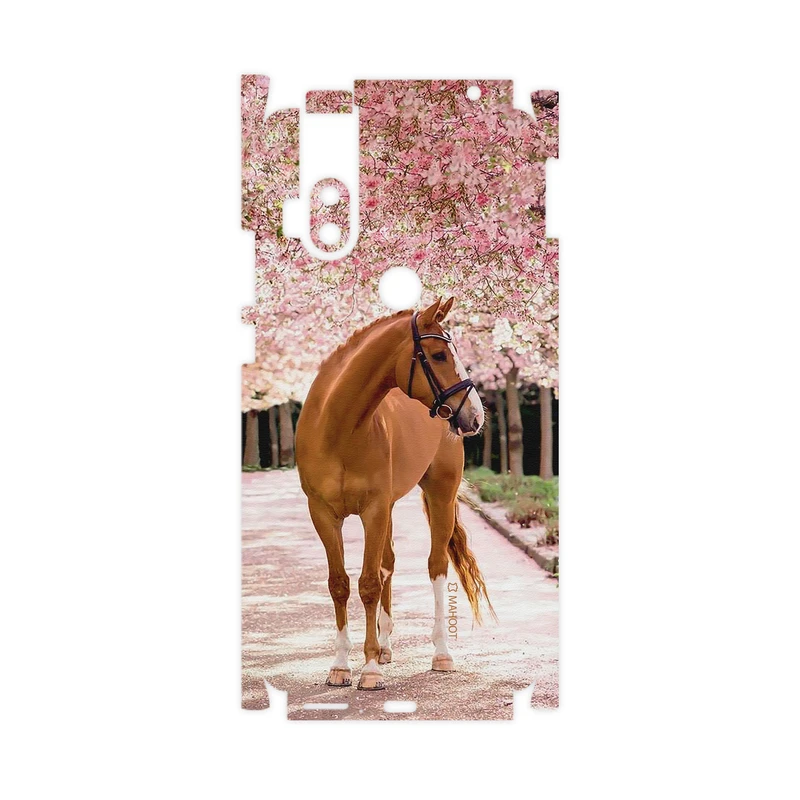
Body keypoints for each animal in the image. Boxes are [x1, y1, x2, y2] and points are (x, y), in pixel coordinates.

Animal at [295, 297, 494, 690]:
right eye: (438, 355)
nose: (476, 416)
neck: (338, 428)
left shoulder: (373, 510)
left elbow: (369, 583)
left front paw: (369, 669)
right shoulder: (324, 514)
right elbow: (340, 584)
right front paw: (341, 666)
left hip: (439, 494)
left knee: (435, 566)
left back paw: (440, 653)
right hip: (388, 508)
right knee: (388, 563)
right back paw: (385, 646)